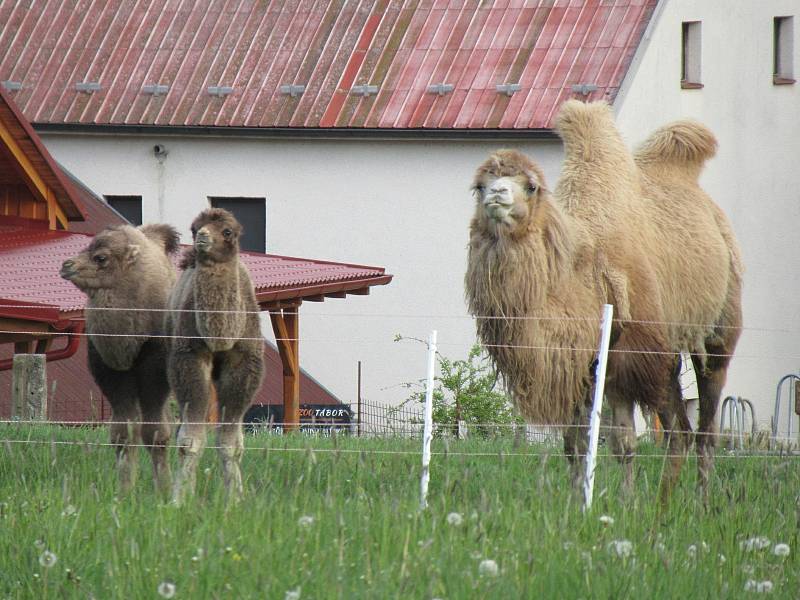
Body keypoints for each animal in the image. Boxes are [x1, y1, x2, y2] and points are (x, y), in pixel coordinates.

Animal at [60, 223, 179, 494]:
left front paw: (164, 491)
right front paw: (124, 492)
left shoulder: (154, 366)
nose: (66, 265)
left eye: (101, 258)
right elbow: (123, 434)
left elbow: (156, 434)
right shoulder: (110, 371)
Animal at [167, 206, 264, 502]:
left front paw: (234, 498)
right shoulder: (189, 356)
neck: (221, 336)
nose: (202, 237)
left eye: (227, 231)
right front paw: (179, 498)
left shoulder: (243, 362)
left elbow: (231, 442)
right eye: (193, 228)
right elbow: (189, 440)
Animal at [462, 102, 744, 502]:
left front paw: (625, 503)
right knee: (679, 431)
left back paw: (701, 501)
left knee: (705, 423)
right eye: (479, 186)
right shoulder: (580, 365)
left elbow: (623, 443)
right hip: (667, 351)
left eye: (531, 186)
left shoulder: (624, 362)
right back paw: (666, 500)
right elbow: (575, 444)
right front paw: (574, 500)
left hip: (718, 329)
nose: (497, 195)